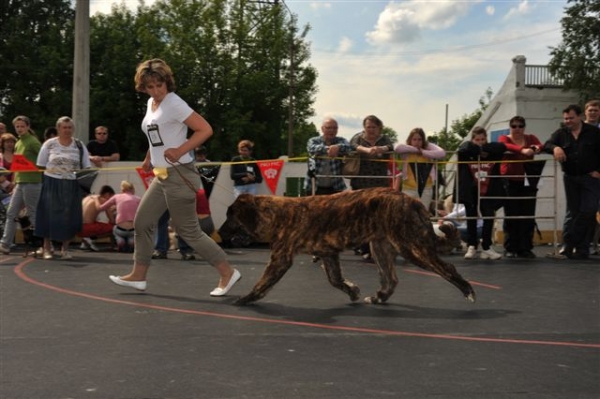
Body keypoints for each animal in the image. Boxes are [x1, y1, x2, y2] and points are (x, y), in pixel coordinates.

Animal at [218, 188, 476, 306]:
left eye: (230, 216)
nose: (219, 233)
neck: (275, 213)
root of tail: (411, 200)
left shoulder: (281, 258)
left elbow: (262, 283)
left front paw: (245, 298)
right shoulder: (328, 254)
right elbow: (335, 279)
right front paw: (352, 291)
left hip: (412, 246)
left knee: (447, 269)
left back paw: (468, 291)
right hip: (380, 247)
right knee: (391, 279)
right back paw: (379, 297)